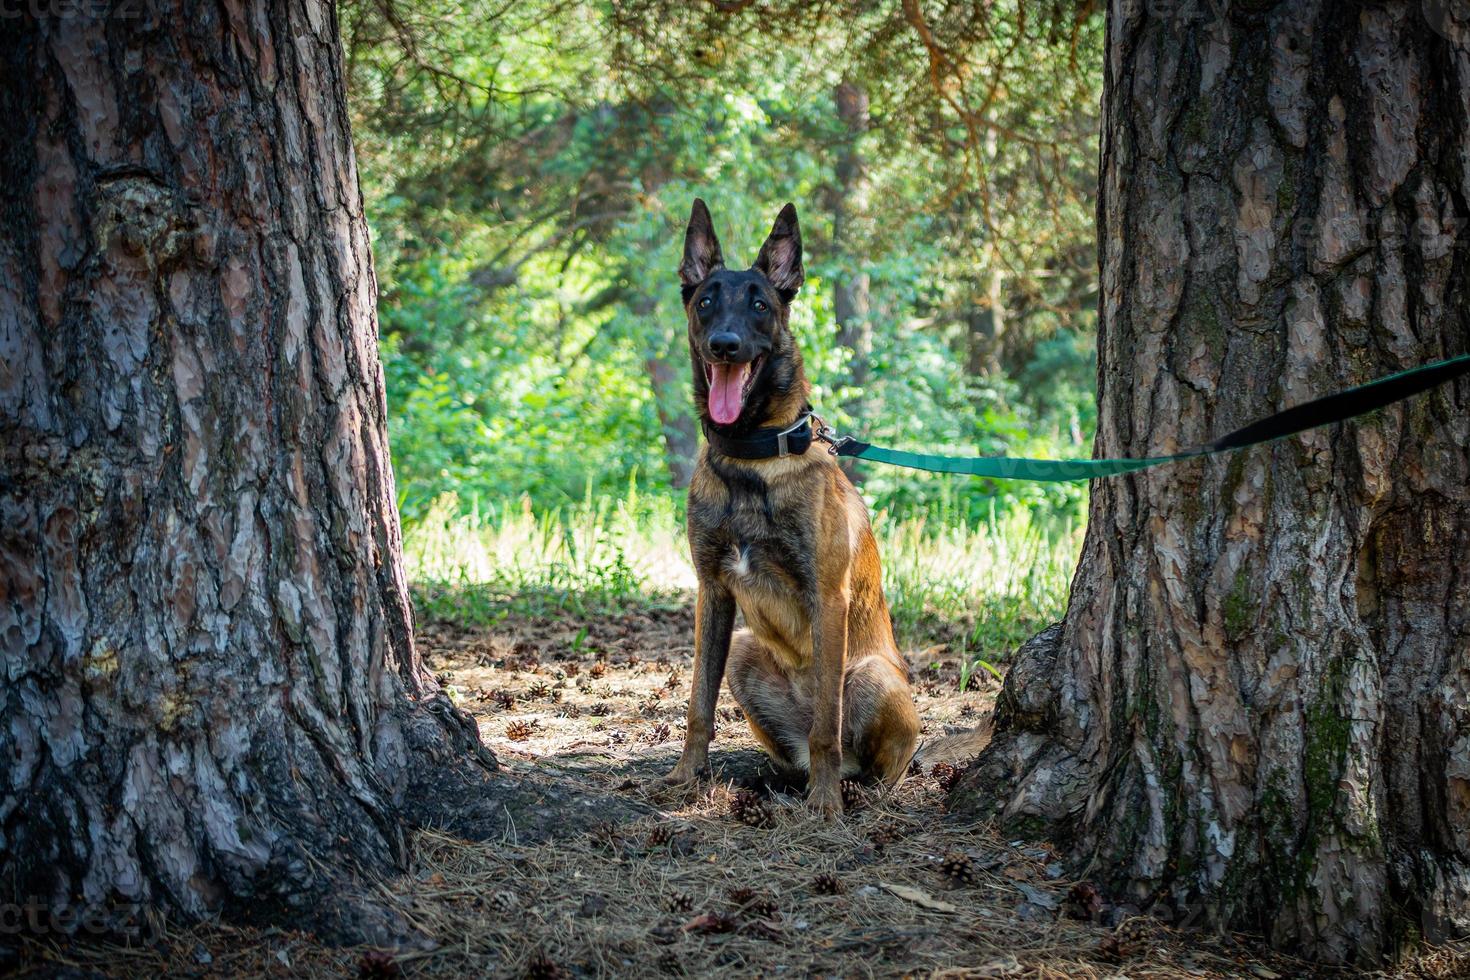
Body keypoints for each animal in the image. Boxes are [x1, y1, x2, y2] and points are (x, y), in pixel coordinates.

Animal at [658, 196, 911, 811]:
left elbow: (825, 724)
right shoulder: (712, 590)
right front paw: (686, 774)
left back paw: (848, 791)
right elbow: (698, 704)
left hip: (872, 676)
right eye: (706, 301)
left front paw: (824, 806)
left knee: (860, 754)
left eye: (759, 304)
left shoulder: (828, 595)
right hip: (746, 652)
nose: (725, 344)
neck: (751, 461)